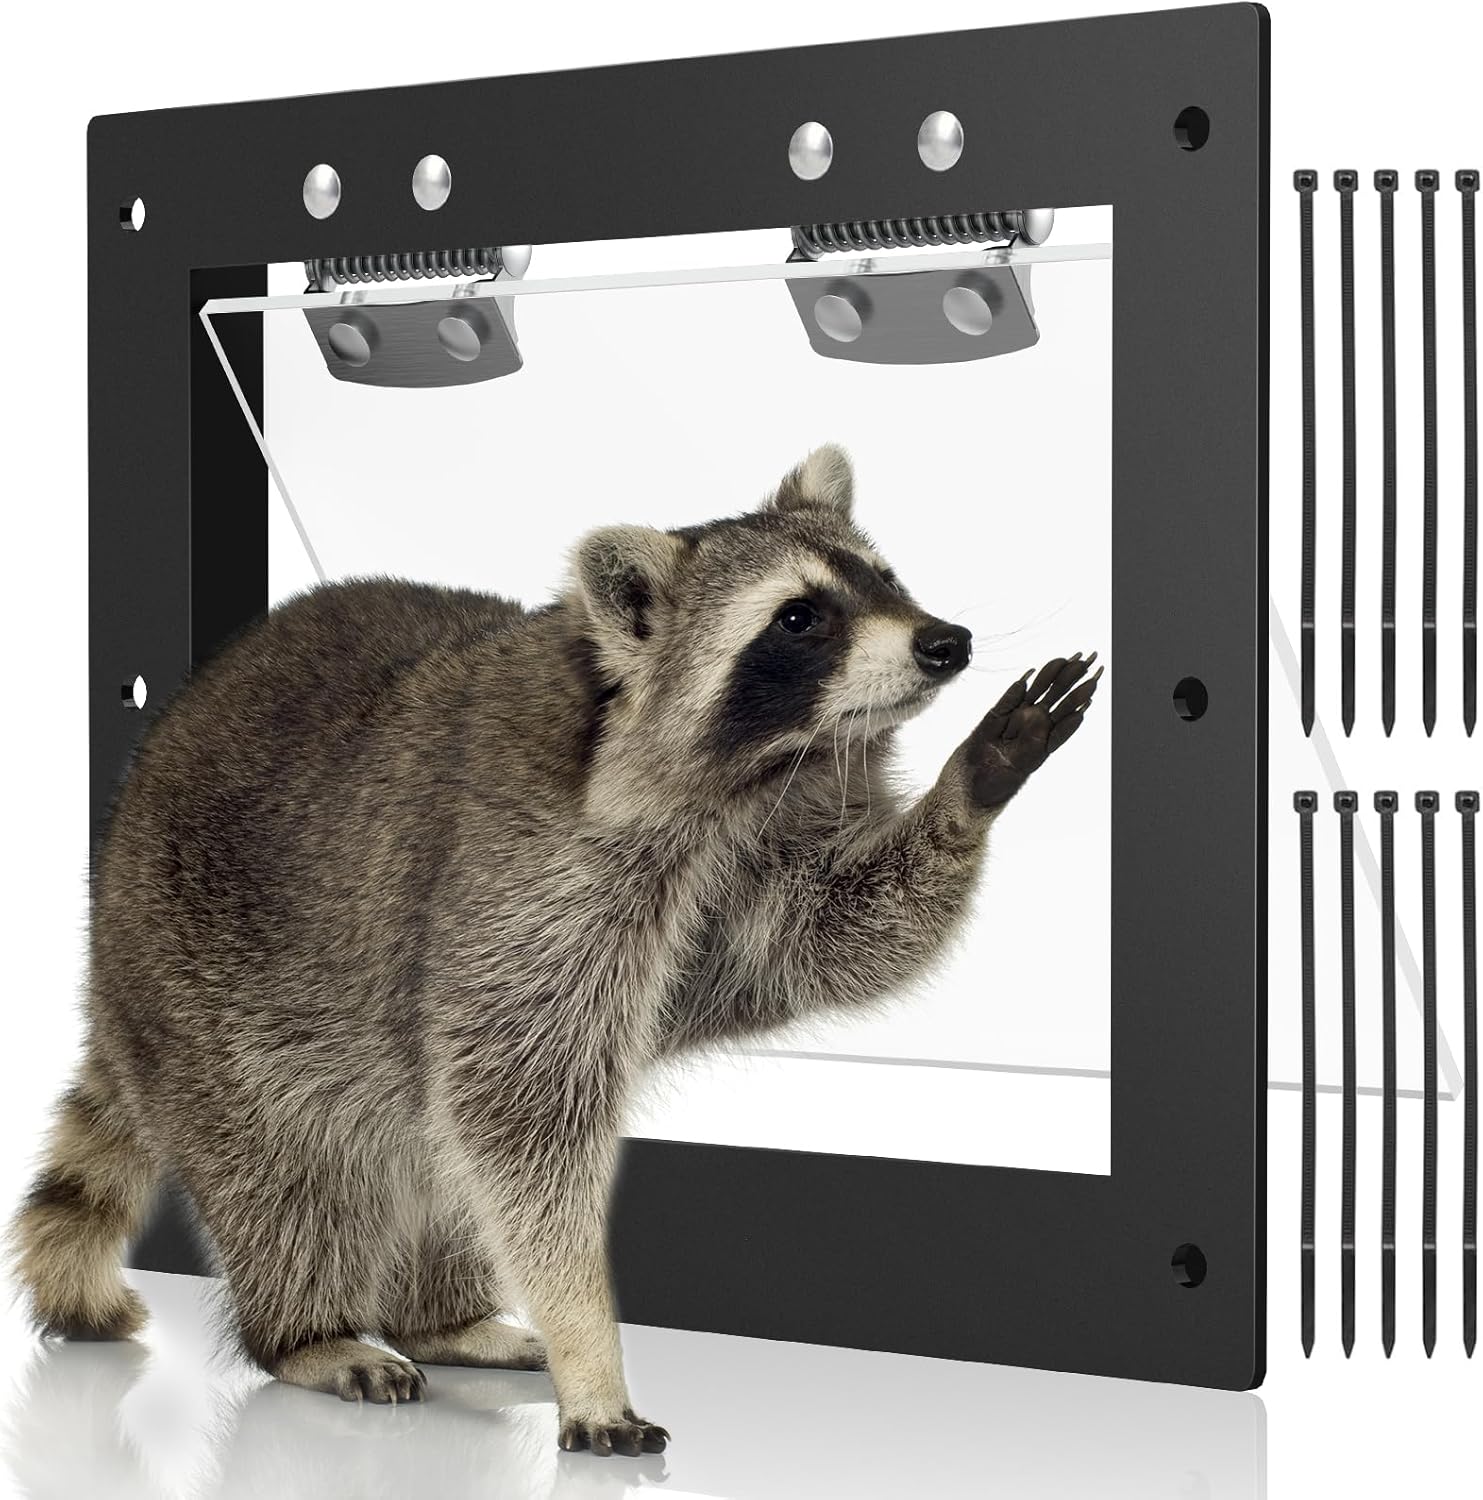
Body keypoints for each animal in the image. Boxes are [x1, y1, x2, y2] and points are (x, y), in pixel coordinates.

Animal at [10, 445, 1098, 1456]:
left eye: (883, 576)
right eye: (799, 619)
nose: (944, 643)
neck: (748, 779)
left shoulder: (753, 858)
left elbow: (828, 939)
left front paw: (970, 785)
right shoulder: (522, 879)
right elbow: (522, 1113)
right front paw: (590, 1346)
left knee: (430, 1158)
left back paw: (438, 1316)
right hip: (203, 993)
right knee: (294, 1171)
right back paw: (310, 1331)